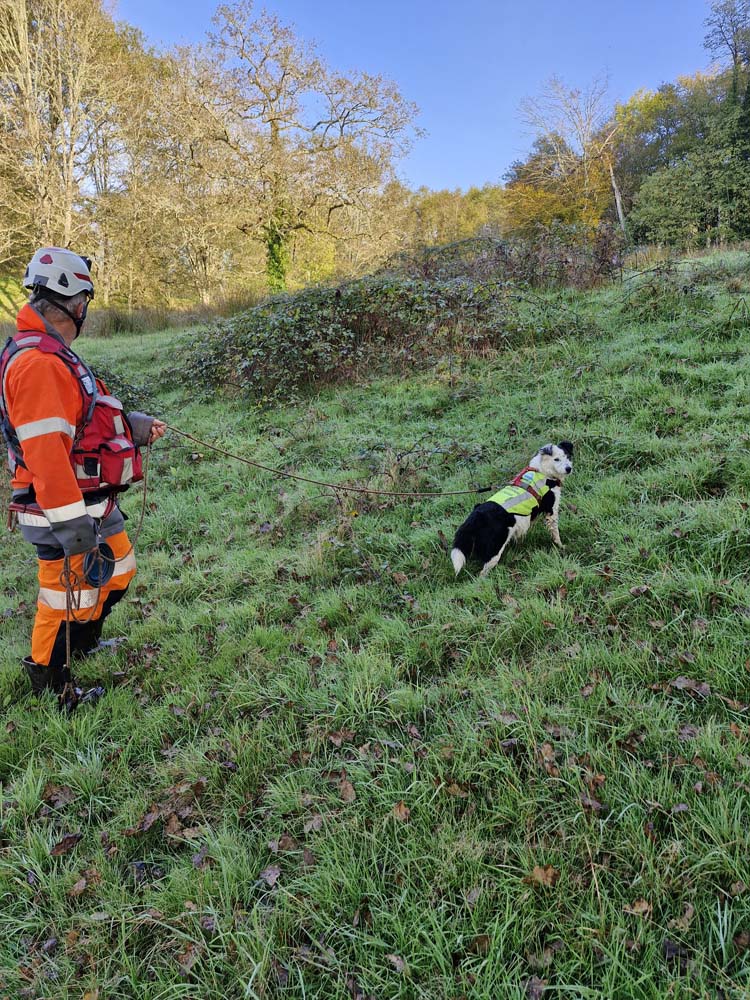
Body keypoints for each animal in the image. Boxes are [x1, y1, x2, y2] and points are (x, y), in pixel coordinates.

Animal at [452, 440, 576, 580]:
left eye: (568, 456)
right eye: (556, 459)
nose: (569, 469)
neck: (543, 471)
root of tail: (475, 517)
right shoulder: (551, 511)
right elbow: (555, 533)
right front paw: (561, 546)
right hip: (494, 550)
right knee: (482, 573)